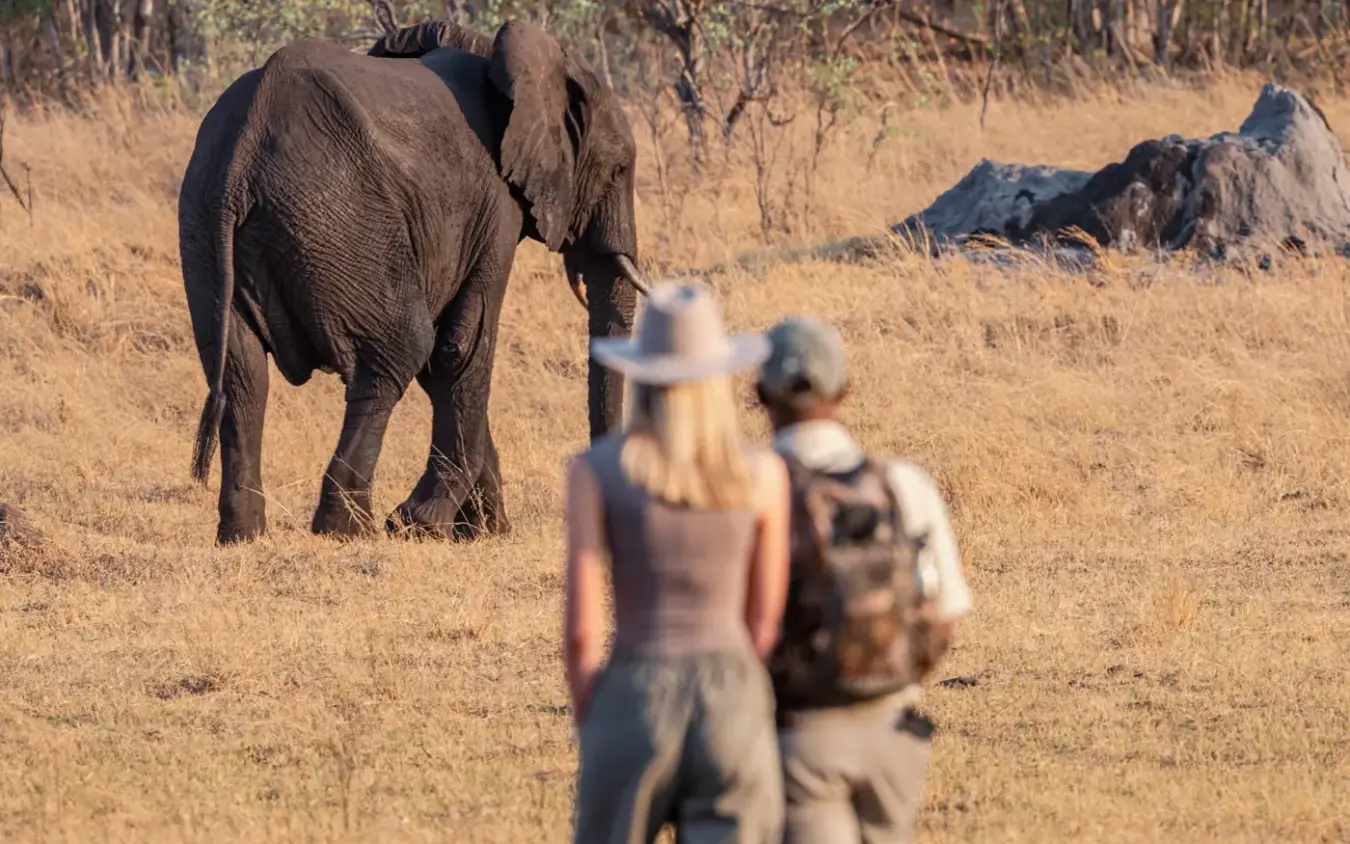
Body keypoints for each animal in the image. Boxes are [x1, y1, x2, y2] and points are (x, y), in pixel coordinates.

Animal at [178, 16, 651, 545]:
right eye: (619, 170)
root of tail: (244, 150)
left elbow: (442, 361)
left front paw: (482, 531)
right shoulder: (496, 205)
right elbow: (461, 346)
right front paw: (424, 524)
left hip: (205, 224)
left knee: (242, 374)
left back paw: (244, 534)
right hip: (341, 219)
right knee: (396, 351)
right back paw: (350, 528)